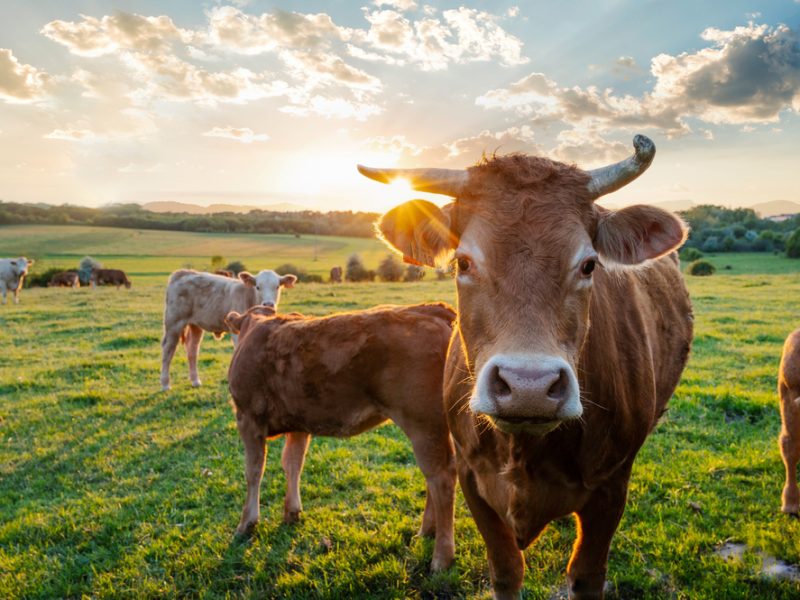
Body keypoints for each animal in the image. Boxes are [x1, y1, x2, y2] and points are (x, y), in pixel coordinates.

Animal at [160, 269, 297, 391]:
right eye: (258, 287)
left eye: (277, 287)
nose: (268, 304)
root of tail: (182, 273)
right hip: (174, 322)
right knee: (168, 350)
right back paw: (165, 384)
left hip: (195, 325)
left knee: (192, 350)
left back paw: (195, 381)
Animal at [224, 302, 457, 571]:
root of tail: (428, 308)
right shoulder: (298, 424)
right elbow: (292, 464)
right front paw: (291, 513)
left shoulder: (247, 418)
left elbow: (253, 471)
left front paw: (246, 524)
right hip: (433, 427)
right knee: (434, 477)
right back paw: (427, 531)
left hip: (422, 423)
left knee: (441, 478)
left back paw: (441, 558)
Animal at [359, 134, 693, 599]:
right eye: (463, 262)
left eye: (589, 264)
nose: (529, 386)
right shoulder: (472, 479)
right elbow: (505, 569)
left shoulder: (612, 487)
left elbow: (587, 574)